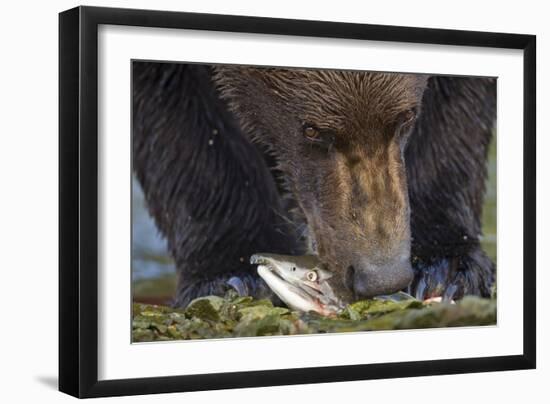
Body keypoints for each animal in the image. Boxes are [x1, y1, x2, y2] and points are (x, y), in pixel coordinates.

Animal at [133, 60, 496, 306]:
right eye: (311, 130)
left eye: (407, 116)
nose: (382, 276)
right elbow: (180, 127)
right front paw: (233, 278)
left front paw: (446, 270)